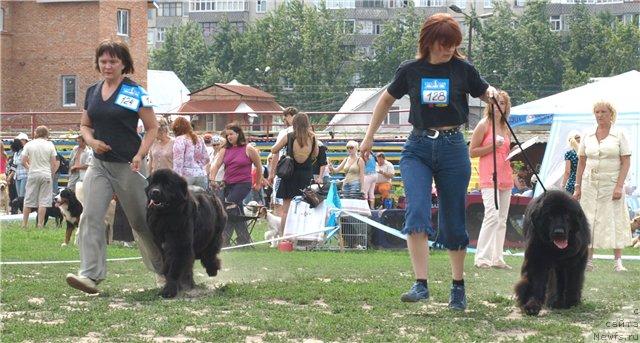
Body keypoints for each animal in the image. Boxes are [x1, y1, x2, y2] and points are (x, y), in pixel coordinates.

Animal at [146, 171, 226, 300]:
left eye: (167, 184)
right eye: (153, 183)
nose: (155, 191)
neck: (166, 217)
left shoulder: (181, 245)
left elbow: (174, 267)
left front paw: (169, 290)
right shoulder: (161, 245)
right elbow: (168, 265)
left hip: (214, 235)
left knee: (209, 254)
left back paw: (212, 270)